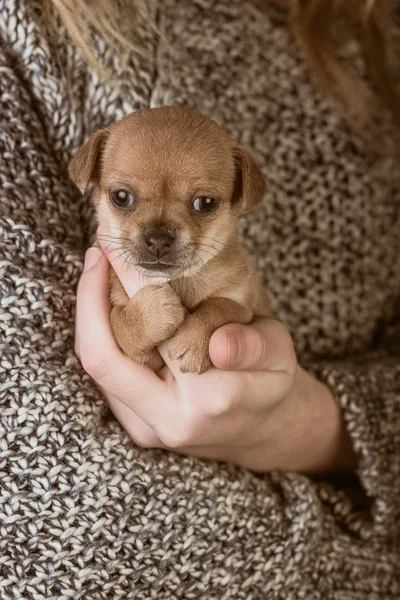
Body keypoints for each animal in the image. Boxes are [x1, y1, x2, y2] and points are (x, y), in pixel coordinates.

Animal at [69, 105, 272, 372]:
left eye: (205, 203)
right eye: (121, 197)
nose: (158, 240)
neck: (178, 282)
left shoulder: (248, 306)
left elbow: (221, 306)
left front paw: (195, 339)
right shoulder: (147, 358)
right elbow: (117, 323)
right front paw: (150, 314)